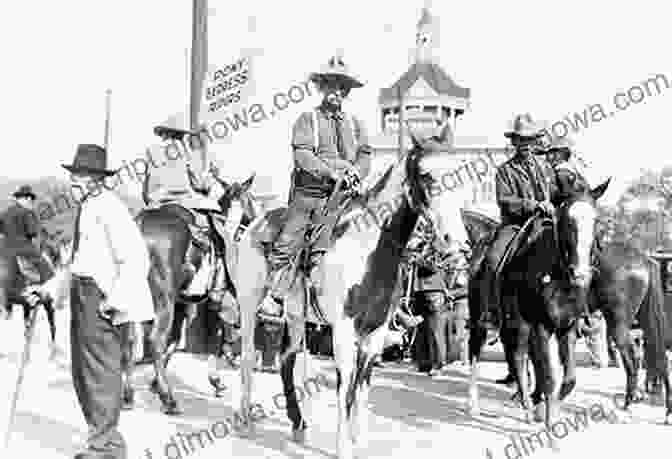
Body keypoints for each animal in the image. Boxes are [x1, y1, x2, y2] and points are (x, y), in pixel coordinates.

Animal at [118, 174, 258, 416]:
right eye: (249, 199)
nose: (255, 218)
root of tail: (141, 224)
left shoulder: (183, 304)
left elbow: (175, 341)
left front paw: (154, 382)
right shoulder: (214, 301)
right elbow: (213, 340)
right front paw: (216, 379)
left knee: (130, 340)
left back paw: (128, 395)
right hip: (164, 299)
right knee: (156, 340)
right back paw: (169, 399)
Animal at [227, 126, 452, 459]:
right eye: (426, 175)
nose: (452, 240)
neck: (369, 248)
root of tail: (254, 224)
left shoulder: (374, 334)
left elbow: (362, 390)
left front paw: (361, 444)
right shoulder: (344, 333)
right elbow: (345, 390)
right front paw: (344, 447)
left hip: (295, 315)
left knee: (286, 359)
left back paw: (298, 424)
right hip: (249, 304)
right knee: (245, 357)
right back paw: (245, 419)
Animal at [468, 180, 608, 432]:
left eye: (596, 221)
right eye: (567, 221)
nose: (581, 274)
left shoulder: (566, 327)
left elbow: (568, 378)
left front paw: (548, 406)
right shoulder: (541, 326)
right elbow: (549, 375)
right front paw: (550, 417)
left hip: (515, 326)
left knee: (517, 357)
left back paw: (526, 403)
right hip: (481, 320)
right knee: (475, 351)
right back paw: (473, 405)